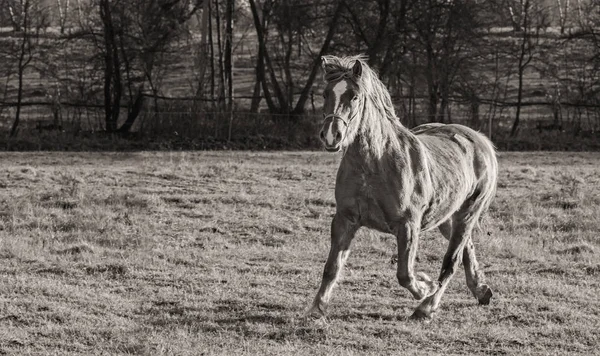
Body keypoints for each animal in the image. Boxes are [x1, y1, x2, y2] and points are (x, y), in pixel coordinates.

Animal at [308, 55, 500, 320]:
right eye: (326, 93)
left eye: (354, 96)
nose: (331, 135)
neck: (376, 163)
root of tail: (480, 140)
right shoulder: (345, 219)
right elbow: (332, 267)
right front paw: (317, 308)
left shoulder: (408, 225)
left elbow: (405, 275)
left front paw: (426, 286)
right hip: (446, 217)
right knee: (466, 250)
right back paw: (481, 291)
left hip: (467, 213)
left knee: (451, 261)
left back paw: (427, 306)